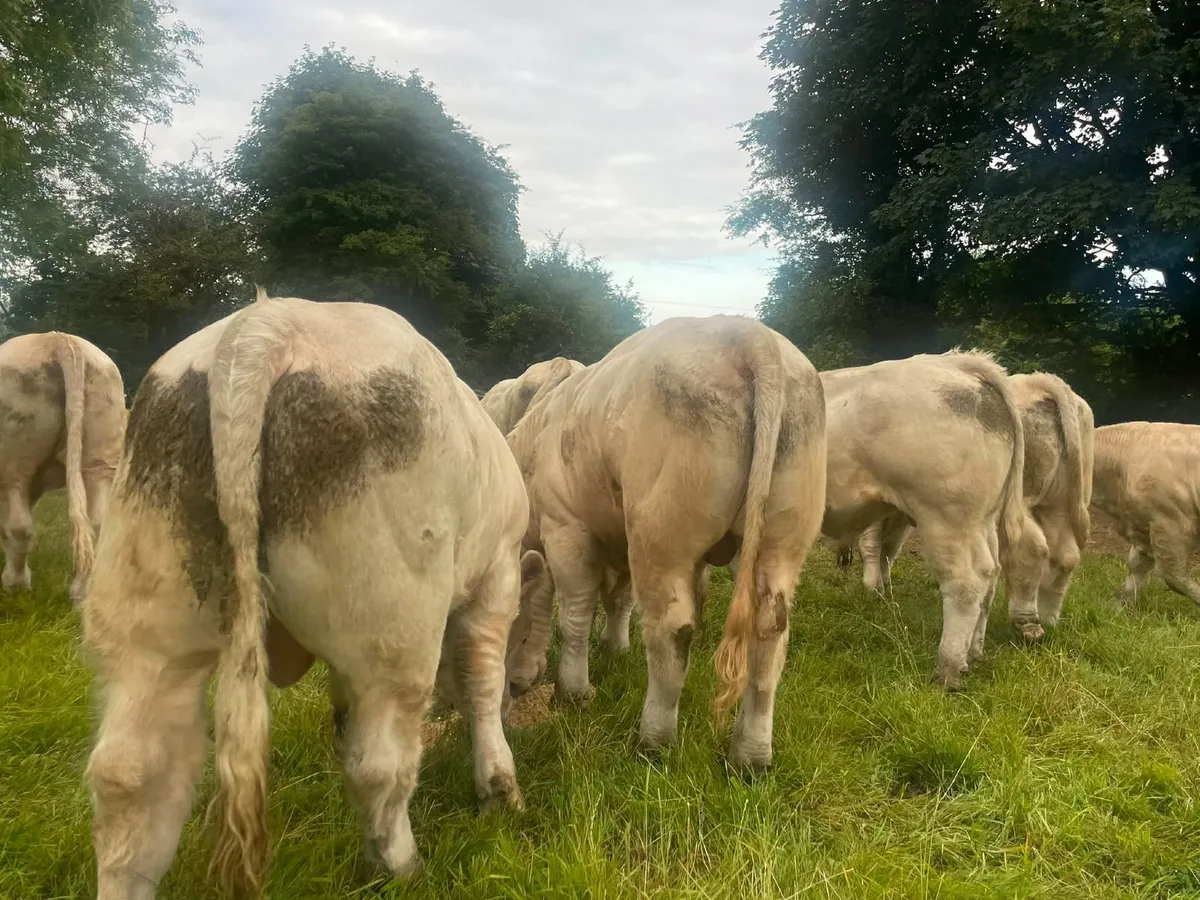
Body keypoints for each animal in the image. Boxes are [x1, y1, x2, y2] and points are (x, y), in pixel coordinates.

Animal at [0, 331, 126, 605]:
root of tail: (58, 339)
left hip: (15, 458)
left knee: (19, 527)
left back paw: (15, 585)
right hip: (100, 453)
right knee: (97, 522)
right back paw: (82, 594)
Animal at [80, 290, 530, 899]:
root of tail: (268, 322)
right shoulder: (498, 575)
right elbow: (482, 682)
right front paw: (500, 790)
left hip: (149, 620)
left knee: (131, 775)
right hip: (394, 624)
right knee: (378, 764)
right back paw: (402, 868)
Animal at [504, 315, 827, 771]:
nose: (516, 686)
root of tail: (749, 334)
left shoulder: (567, 528)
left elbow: (575, 614)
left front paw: (573, 691)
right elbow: (619, 598)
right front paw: (615, 648)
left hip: (660, 535)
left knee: (671, 633)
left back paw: (654, 741)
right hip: (783, 540)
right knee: (769, 635)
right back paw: (750, 757)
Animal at [814, 350, 1030, 690]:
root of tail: (958, 364)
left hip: (946, 517)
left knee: (965, 582)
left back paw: (948, 669)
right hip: (981, 521)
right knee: (990, 574)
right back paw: (973, 654)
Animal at [844, 372, 1094, 631]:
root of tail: (1039, 383)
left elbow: (872, 543)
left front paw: (872, 588)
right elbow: (890, 546)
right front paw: (883, 585)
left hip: (1010, 505)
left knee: (1029, 549)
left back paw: (1025, 621)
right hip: (1059, 502)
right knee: (1065, 554)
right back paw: (1048, 618)